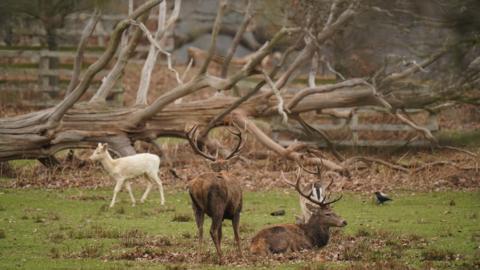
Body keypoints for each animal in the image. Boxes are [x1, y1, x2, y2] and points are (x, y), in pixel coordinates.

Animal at [185, 126, 244, 264]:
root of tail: (199, 186)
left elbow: (221, 235)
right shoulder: (237, 210)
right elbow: (237, 234)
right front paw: (241, 255)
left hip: (196, 208)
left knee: (200, 230)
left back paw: (199, 257)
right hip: (218, 206)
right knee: (212, 231)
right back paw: (222, 259)